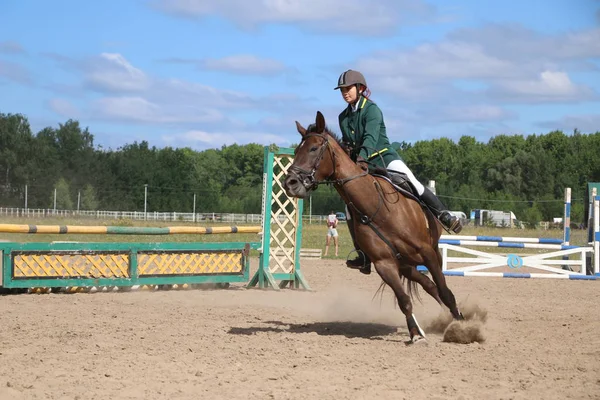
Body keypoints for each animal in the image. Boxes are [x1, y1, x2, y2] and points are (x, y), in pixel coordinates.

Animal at [282, 110, 464, 344]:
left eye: (313, 149)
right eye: (296, 151)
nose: (290, 183)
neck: (378, 207)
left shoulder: (428, 253)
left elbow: (446, 291)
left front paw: (461, 325)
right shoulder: (384, 264)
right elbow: (405, 300)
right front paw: (416, 334)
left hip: (425, 255)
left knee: (437, 288)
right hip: (405, 264)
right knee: (427, 284)